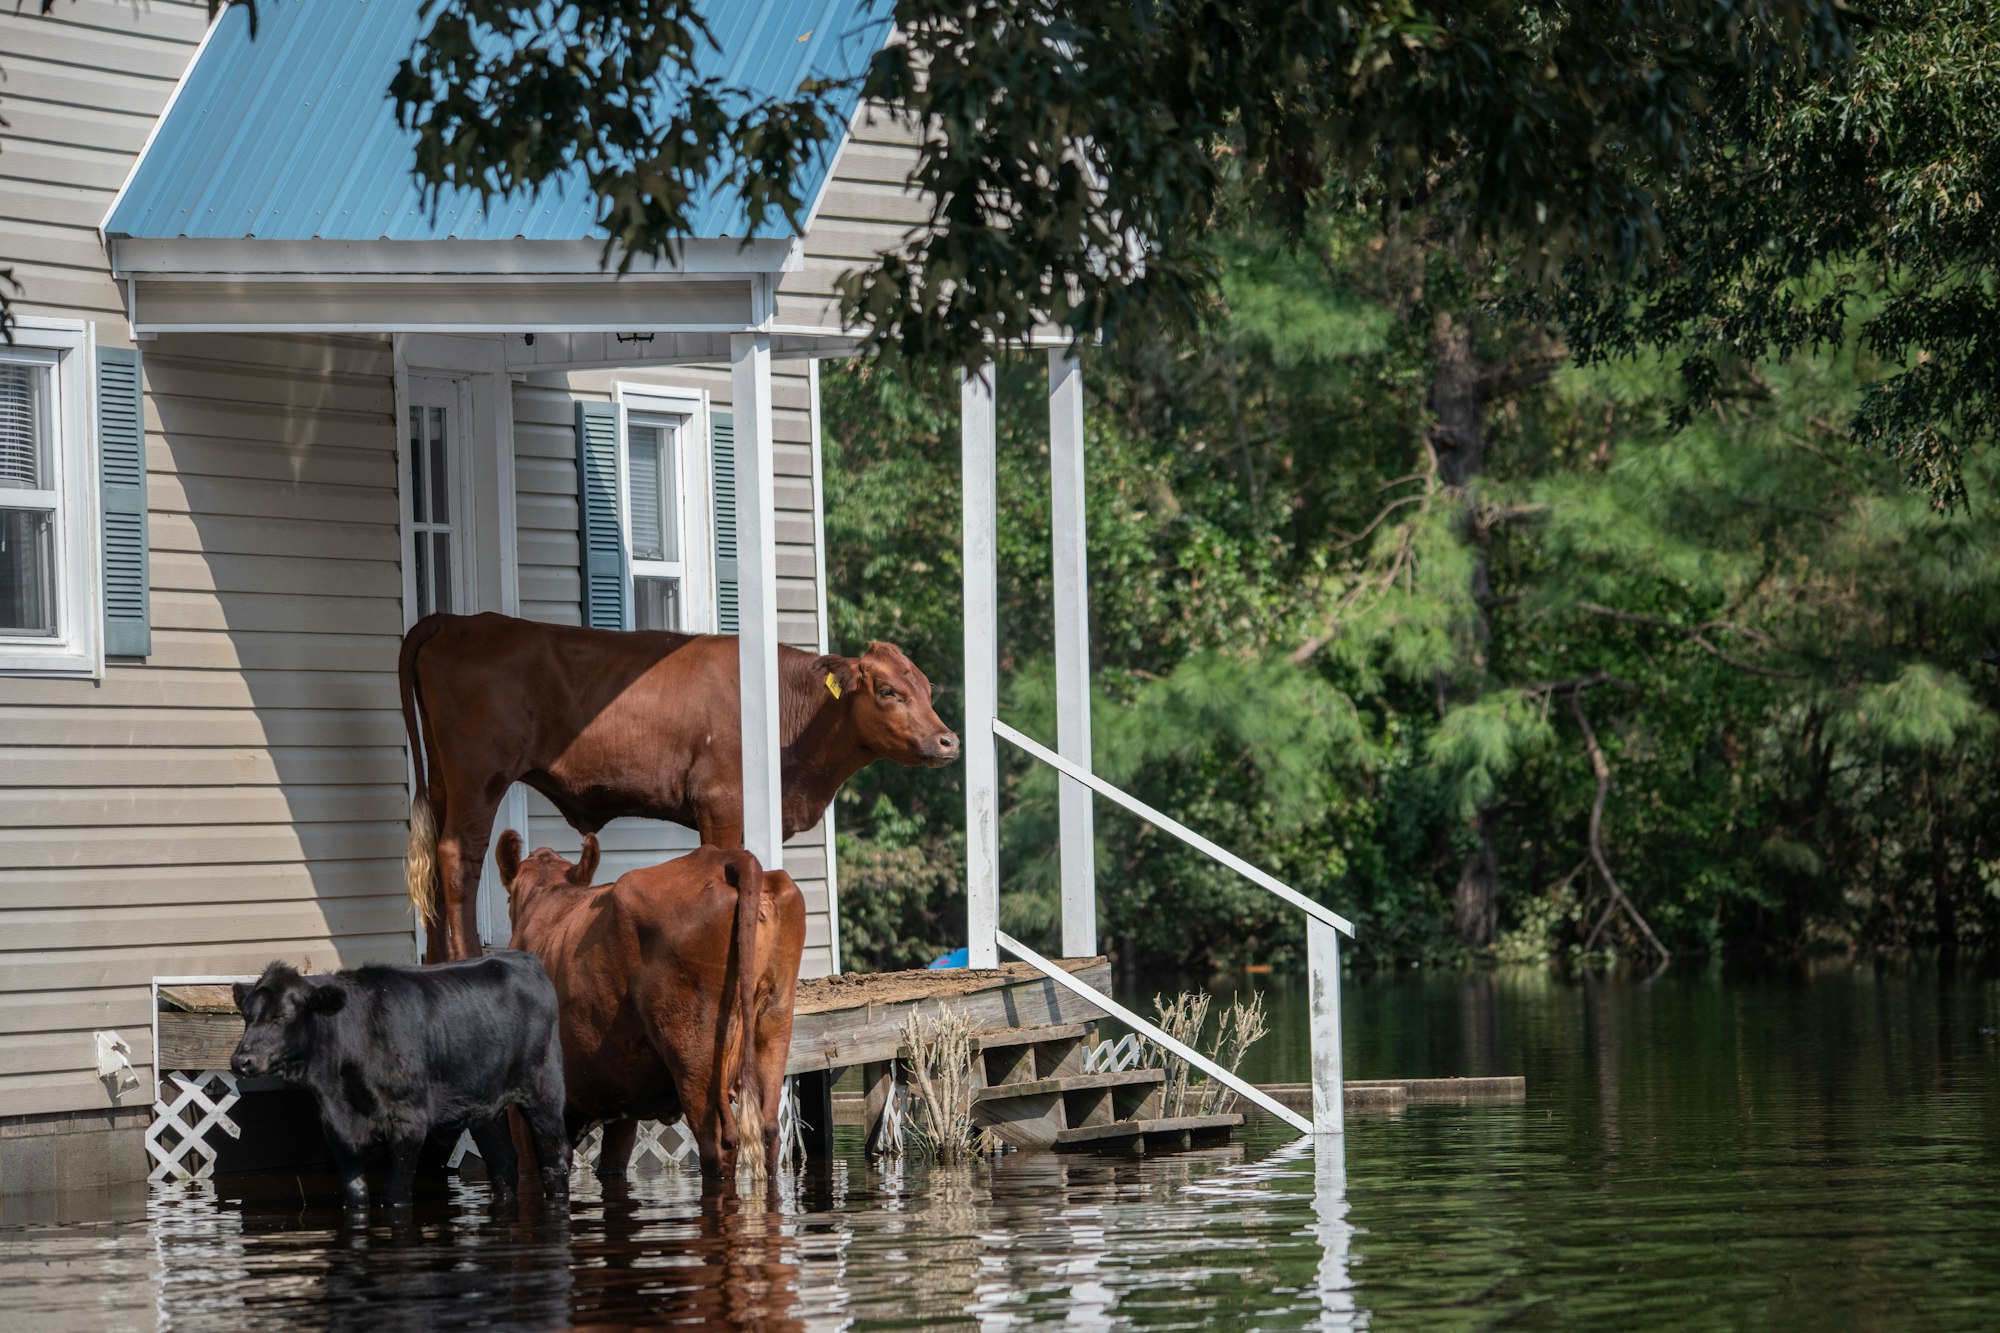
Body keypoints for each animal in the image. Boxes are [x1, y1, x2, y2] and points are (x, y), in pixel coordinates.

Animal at [232, 944, 572, 1200]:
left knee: (555, 1159)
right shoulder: (338, 1132)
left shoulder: (409, 1123)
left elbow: (395, 1193)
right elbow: (356, 1194)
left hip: (544, 1089)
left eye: (281, 1015)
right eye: (246, 1015)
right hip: (485, 1107)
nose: (240, 1061)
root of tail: (522, 958)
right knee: (503, 1165)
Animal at [398, 612, 952, 956]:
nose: (949, 740)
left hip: (444, 778)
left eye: (927, 688)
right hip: (478, 776)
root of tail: (458, 621)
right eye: (888, 691)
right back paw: (465, 957)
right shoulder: (722, 804)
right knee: (458, 856)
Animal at [494, 824, 804, 1176]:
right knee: (769, 1132)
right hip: (773, 1022)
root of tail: (724, 858)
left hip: (694, 1051)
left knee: (718, 1143)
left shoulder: (522, 1107)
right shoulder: (621, 1103)